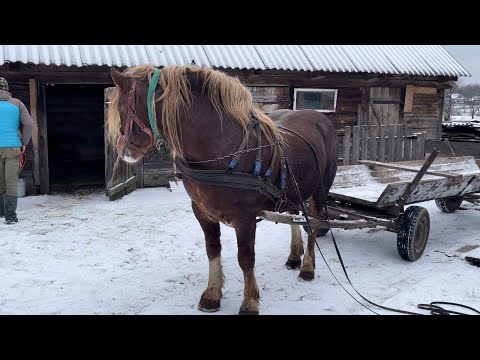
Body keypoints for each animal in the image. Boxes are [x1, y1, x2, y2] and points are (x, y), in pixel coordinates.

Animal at [106, 64, 338, 316]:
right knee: (294, 216)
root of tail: (320, 118)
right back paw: (295, 257)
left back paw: (307, 267)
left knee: (314, 225)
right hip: (294, 190)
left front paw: (249, 302)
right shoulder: (202, 212)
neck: (221, 146)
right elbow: (213, 250)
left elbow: (245, 258)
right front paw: (212, 294)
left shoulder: (245, 218)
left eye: (123, 108)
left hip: (320, 191)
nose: (125, 152)